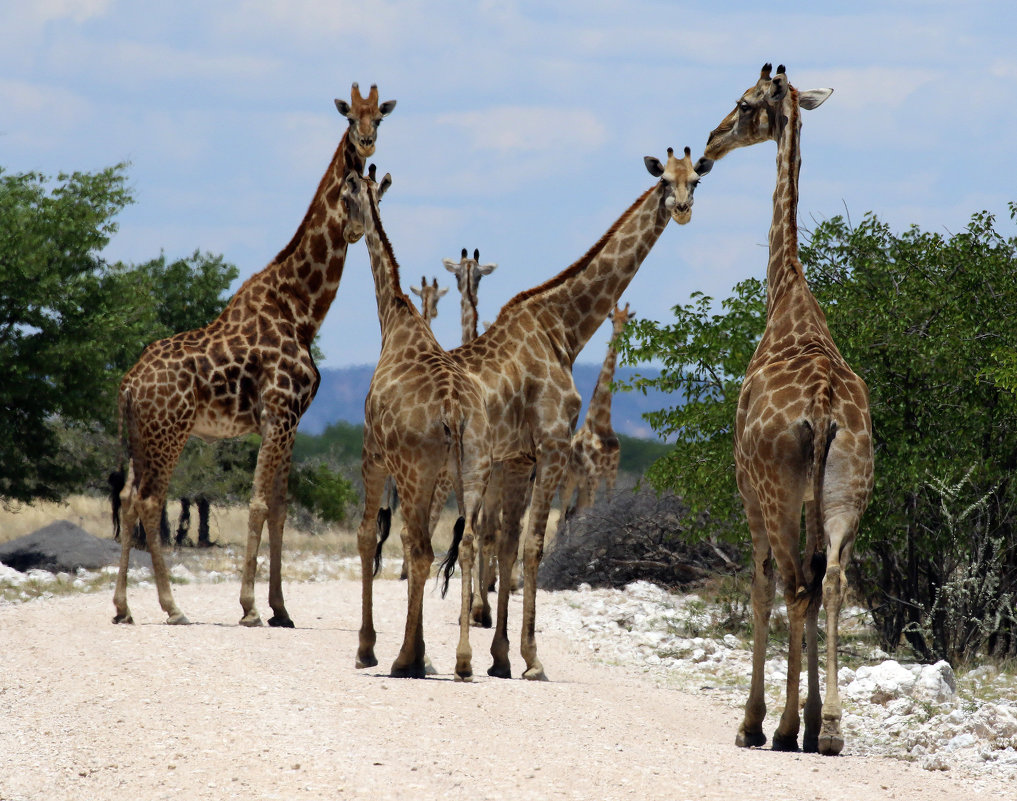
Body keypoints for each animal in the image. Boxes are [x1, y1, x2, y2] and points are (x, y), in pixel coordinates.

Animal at [113, 84, 394, 630]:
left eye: (382, 117)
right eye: (351, 117)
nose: (367, 143)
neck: (301, 308)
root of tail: (129, 385)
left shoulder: (289, 420)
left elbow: (281, 506)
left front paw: (280, 608)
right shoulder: (279, 413)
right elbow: (261, 502)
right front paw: (248, 607)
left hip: (141, 436)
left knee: (128, 496)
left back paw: (122, 607)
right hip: (169, 432)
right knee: (151, 500)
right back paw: (173, 607)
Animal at [343, 168, 494, 683]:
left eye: (346, 197)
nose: (347, 232)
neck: (394, 317)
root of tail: (454, 411)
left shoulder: (372, 453)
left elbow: (367, 536)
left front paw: (368, 649)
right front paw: (424, 651)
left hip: (414, 470)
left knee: (423, 549)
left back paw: (402, 658)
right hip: (472, 468)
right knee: (465, 544)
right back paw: (463, 660)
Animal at [561, 300, 630, 518]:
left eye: (628, 319)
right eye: (612, 319)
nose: (619, 332)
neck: (601, 424)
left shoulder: (611, 471)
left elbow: (608, 504)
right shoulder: (592, 472)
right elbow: (590, 511)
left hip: (583, 482)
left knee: (572, 512)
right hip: (571, 478)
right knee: (562, 513)